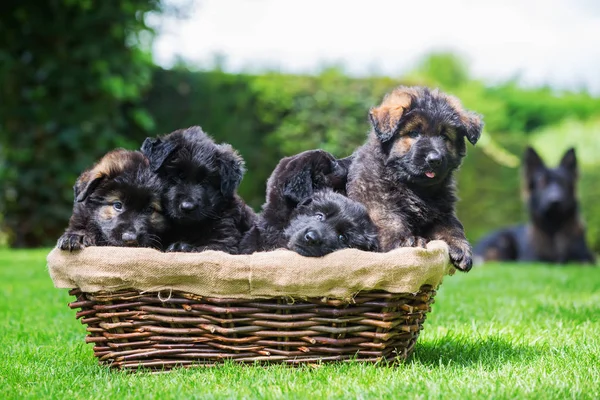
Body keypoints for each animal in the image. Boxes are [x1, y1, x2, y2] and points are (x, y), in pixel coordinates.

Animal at [346, 85, 482, 272]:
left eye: (445, 136)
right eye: (414, 133)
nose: (434, 159)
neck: (413, 187)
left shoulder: (441, 210)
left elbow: (452, 226)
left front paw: (461, 247)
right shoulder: (375, 200)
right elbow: (389, 220)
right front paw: (407, 241)